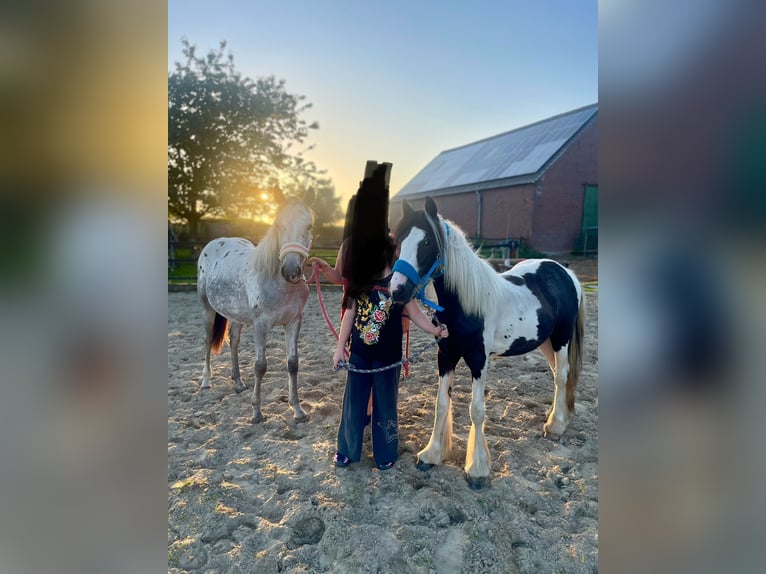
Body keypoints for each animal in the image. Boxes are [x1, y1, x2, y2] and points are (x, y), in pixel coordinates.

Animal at [392, 199, 584, 490]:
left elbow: (477, 410)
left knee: (561, 376)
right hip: (545, 341)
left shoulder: (478, 359)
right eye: (399, 239)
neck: (465, 304)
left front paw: (477, 469)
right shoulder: (445, 355)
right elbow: (441, 404)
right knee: (556, 377)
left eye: (426, 242)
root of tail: (565, 271)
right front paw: (431, 455)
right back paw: (554, 416)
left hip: (561, 338)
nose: (396, 290)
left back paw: (556, 425)